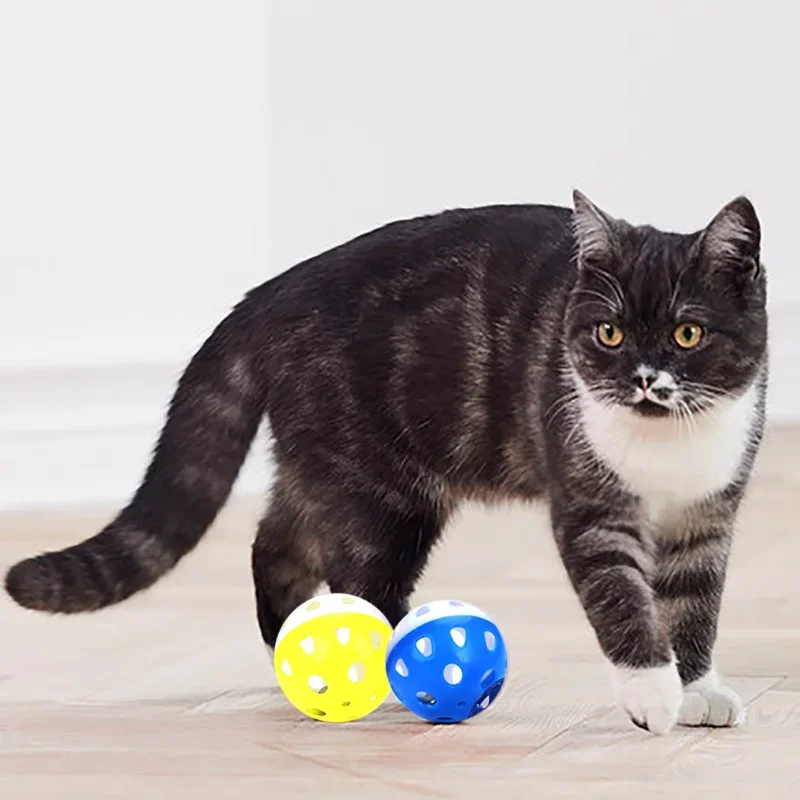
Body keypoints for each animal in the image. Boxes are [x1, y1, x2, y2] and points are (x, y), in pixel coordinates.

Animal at [6, 191, 768, 736]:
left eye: (688, 333)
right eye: (608, 333)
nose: (644, 381)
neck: (667, 448)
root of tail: (268, 293)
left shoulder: (709, 515)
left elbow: (694, 602)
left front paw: (696, 689)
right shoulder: (589, 506)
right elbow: (621, 598)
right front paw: (651, 695)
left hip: (326, 460)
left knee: (277, 542)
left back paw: (292, 646)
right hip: (381, 485)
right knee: (356, 571)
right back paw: (398, 665)